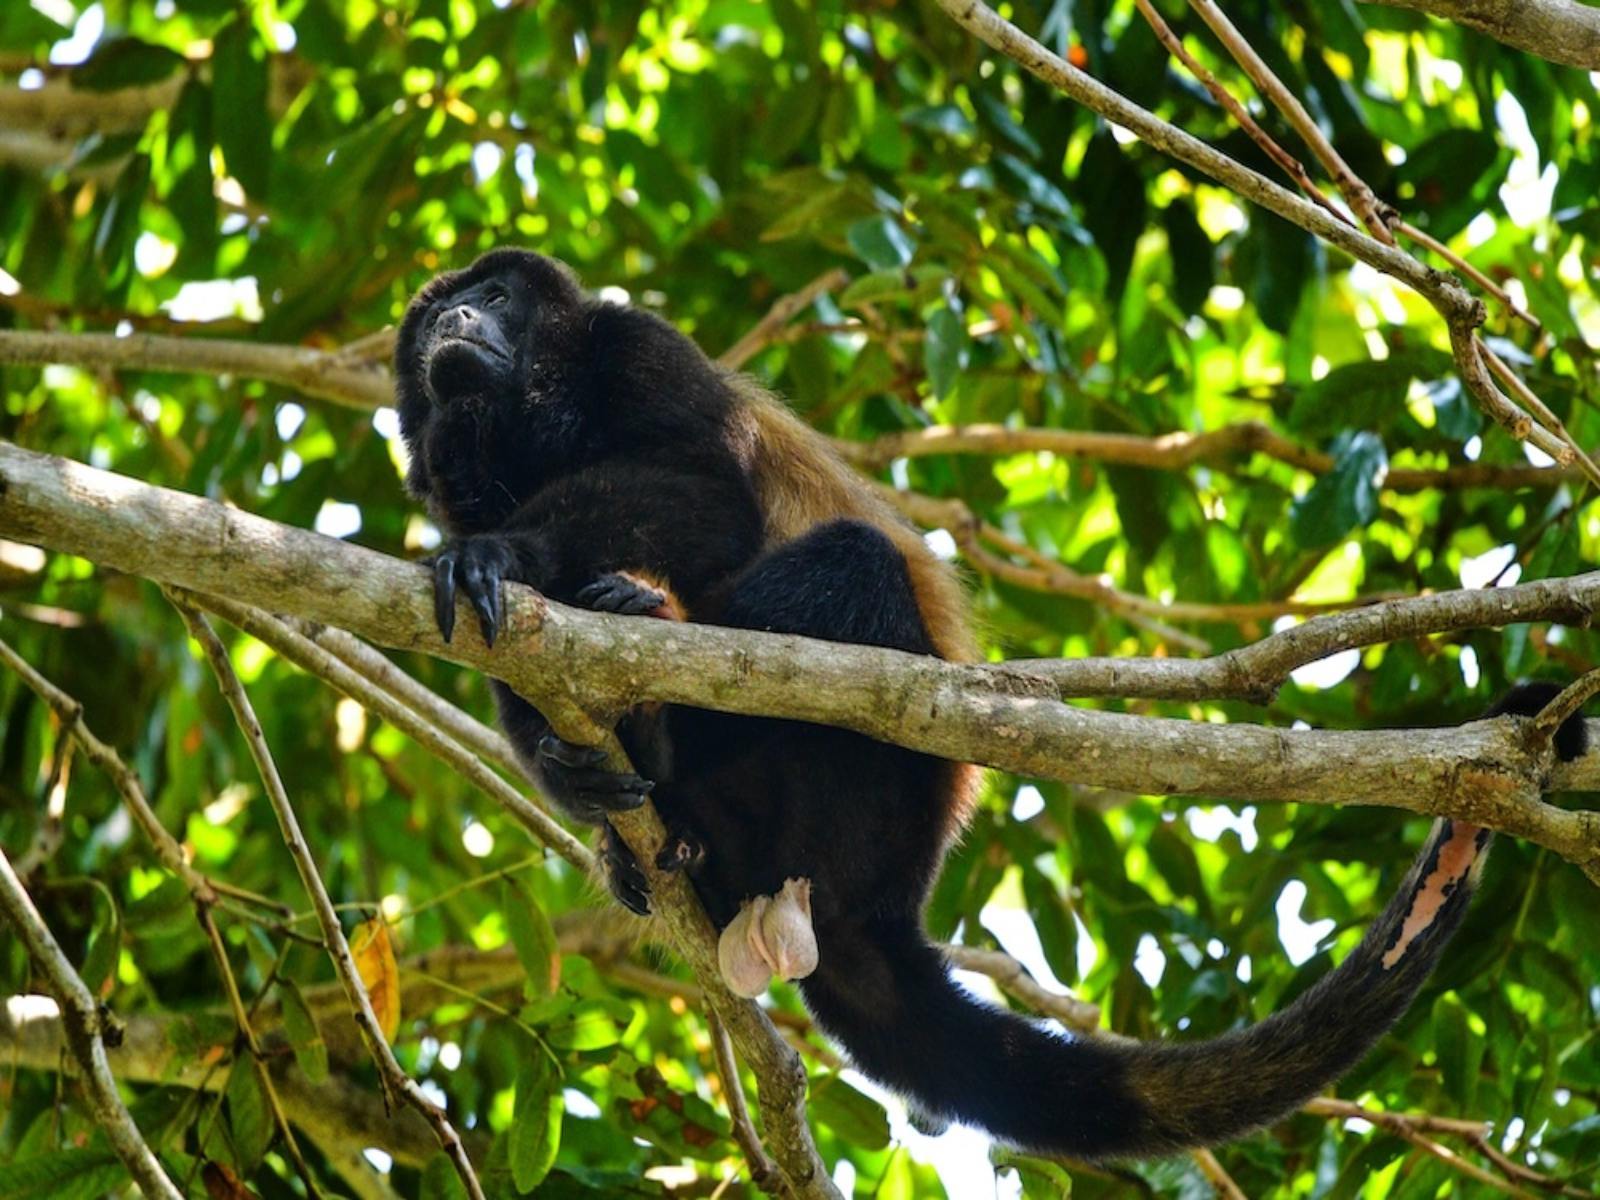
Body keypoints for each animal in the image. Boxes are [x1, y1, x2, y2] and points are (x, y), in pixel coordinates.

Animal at [395, 247, 1591, 1159]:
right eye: (430, 318)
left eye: (493, 293)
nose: (451, 314)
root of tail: (872, 906)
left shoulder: (637, 348)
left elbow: (703, 486)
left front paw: (512, 553)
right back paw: (642, 822)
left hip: (876, 793)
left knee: (857, 565)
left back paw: (660, 699)